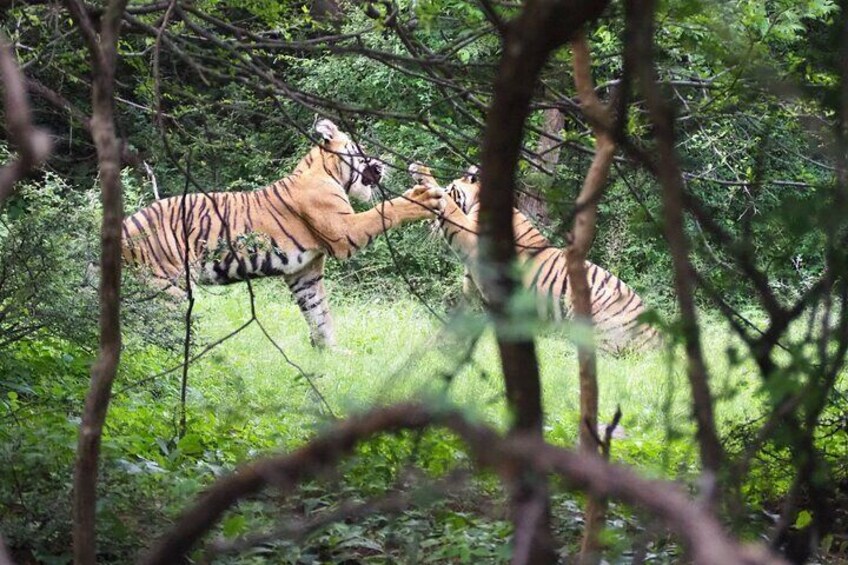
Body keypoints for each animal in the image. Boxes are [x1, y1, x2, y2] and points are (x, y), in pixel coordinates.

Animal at [121, 119, 445, 348]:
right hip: (165, 289)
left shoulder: (305, 271)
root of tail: (125, 226)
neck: (327, 171)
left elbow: (319, 313)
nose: (381, 164)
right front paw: (424, 197)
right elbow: (387, 209)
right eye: (360, 148)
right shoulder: (345, 232)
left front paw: (331, 354)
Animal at [408, 162, 658, 354]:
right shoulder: (473, 295)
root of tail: (657, 335)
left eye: (450, 187)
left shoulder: (469, 236)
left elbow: (450, 209)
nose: (427, 223)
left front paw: (420, 170)